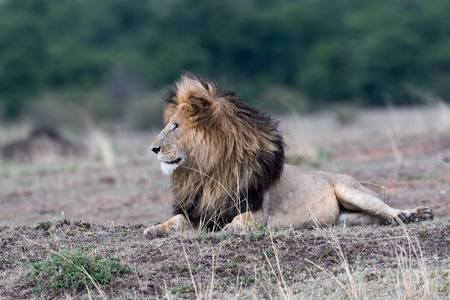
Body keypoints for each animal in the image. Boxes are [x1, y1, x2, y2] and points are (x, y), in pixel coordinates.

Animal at [144, 72, 432, 237]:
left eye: (176, 126)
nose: (154, 148)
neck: (207, 172)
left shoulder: (258, 211)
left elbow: (242, 218)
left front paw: (232, 229)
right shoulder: (201, 211)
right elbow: (175, 220)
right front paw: (154, 228)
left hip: (352, 191)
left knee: (386, 209)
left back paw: (413, 214)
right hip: (346, 218)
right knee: (372, 219)